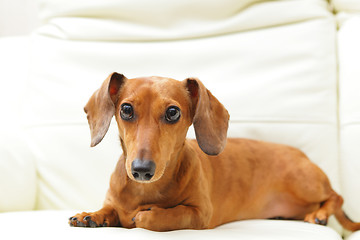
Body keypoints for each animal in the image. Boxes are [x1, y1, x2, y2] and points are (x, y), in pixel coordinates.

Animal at [69, 72, 360, 231]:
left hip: (304, 182)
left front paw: (146, 214)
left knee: (336, 197)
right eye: (126, 110)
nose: (141, 170)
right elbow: (110, 209)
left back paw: (320, 214)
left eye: (172, 112)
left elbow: (154, 217)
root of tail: (301, 154)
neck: (147, 190)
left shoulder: (199, 214)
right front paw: (92, 215)